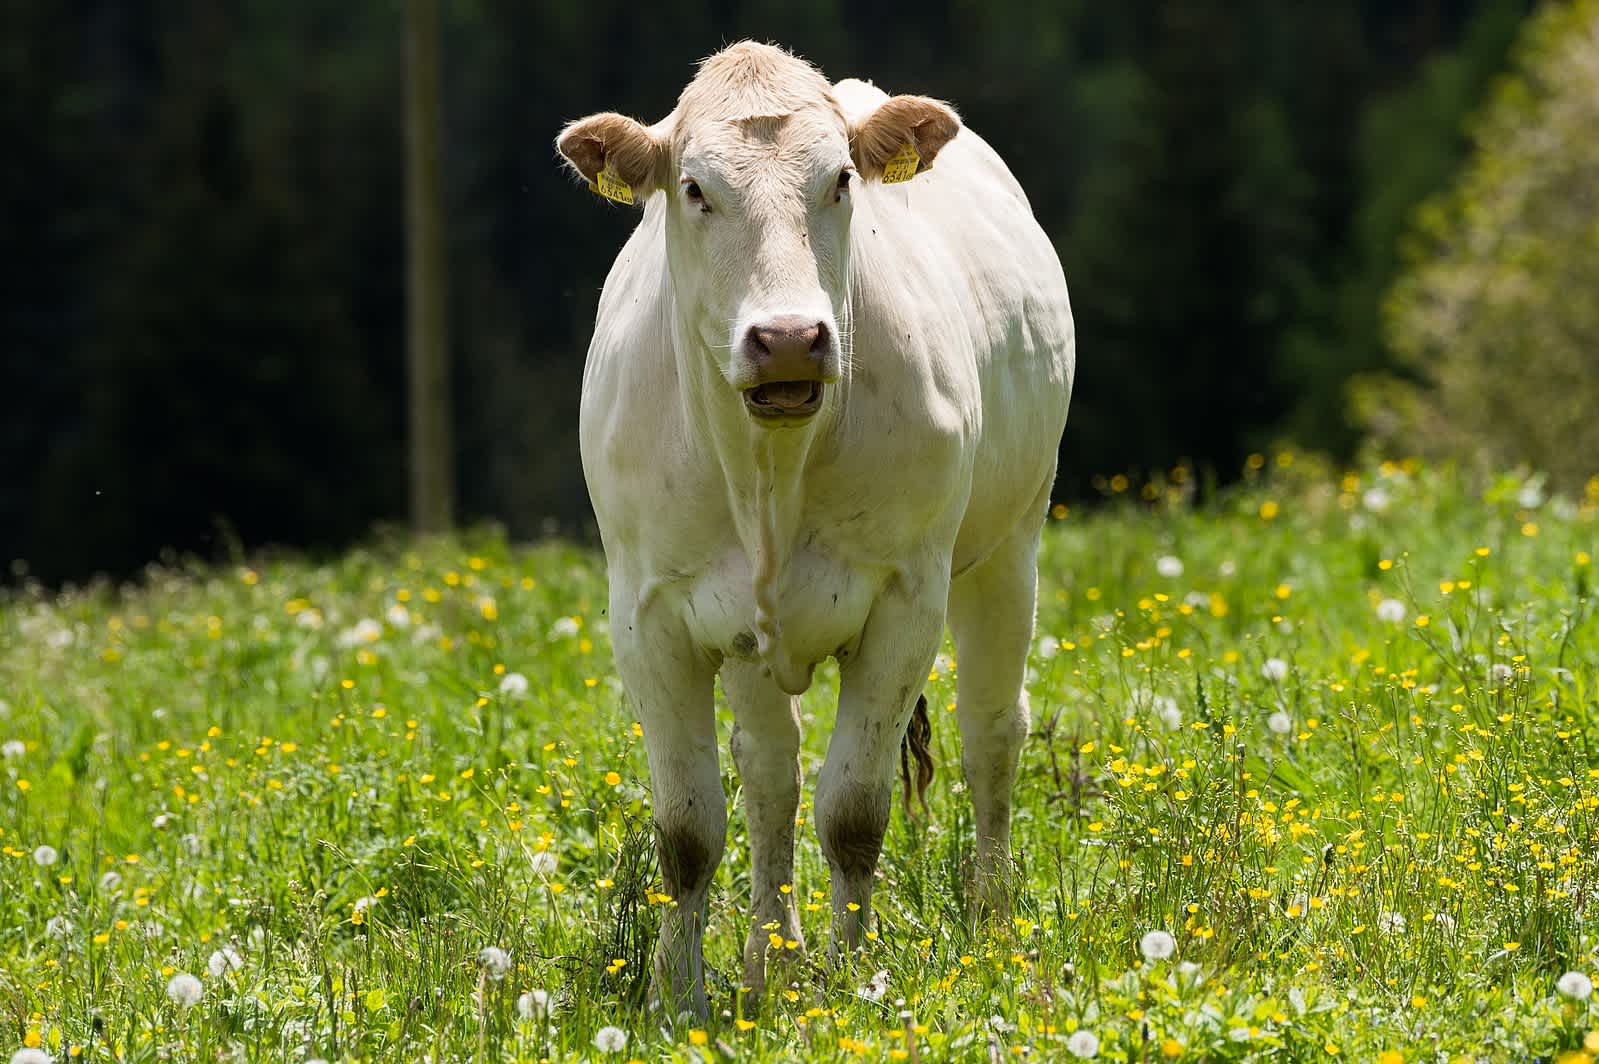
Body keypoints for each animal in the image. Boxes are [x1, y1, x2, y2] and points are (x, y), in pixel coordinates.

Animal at [559, 41, 1074, 1017]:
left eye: (839, 180)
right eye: (693, 188)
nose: (792, 338)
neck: (770, 468)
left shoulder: (906, 599)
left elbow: (853, 815)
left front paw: (854, 979)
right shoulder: (646, 616)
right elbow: (688, 829)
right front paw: (678, 1002)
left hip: (1010, 547)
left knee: (991, 730)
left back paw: (989, 921)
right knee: (770, 769)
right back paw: (772, 964)